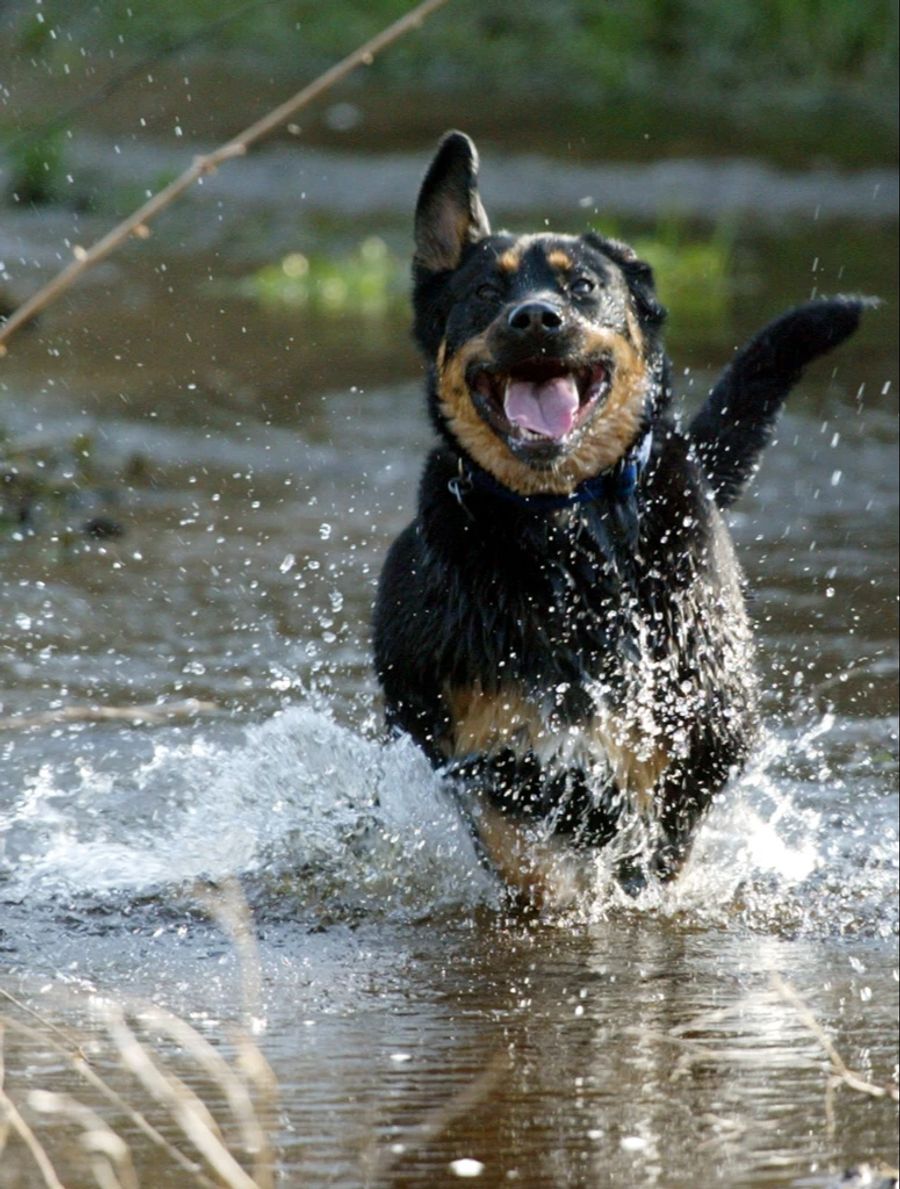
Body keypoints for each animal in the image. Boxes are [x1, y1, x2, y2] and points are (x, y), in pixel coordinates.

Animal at [373, 132, 865, 898]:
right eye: (484, 291)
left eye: (582, 286)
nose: (535, 318)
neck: (566, 524)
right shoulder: (459, 734)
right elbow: (518, 803)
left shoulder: (708, 719)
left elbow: (661, 804)